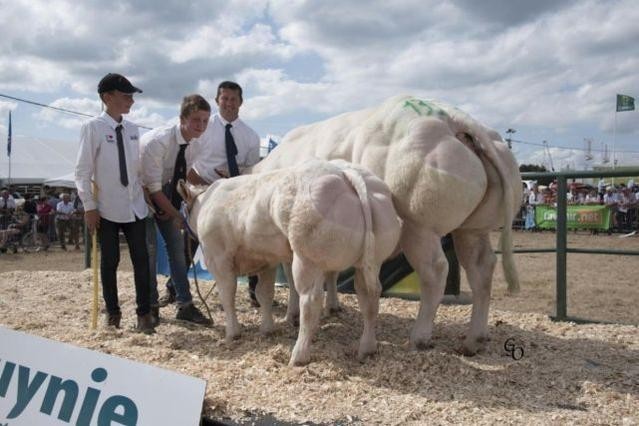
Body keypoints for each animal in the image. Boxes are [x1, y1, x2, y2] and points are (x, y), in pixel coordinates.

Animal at [180, 158, 400, 364]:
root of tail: (344, 171)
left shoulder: (218, 259)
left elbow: (227, 295)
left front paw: (232, 333)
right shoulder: (266, 261)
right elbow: (264, 294)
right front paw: (267, 329)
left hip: (307, 258)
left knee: (310, 301)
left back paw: (298, 355)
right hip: (370, 262)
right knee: (369, 298)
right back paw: (367, 348)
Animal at [252, 95, 524, 356]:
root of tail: (453, 118)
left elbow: (291, 277)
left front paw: (292, 315)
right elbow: (332, 272)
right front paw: (333, 306)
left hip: (420, 224)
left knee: (436, 271)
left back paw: (419, 337)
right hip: (473, 229)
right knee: (482, 268)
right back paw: (474, 339)